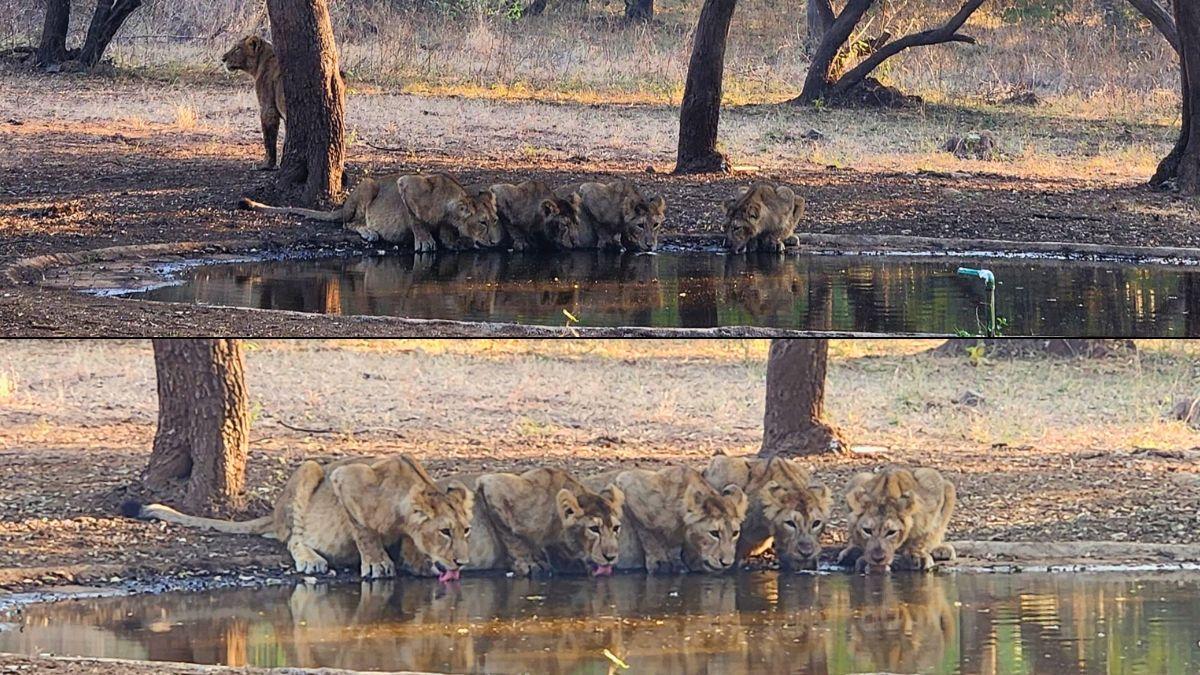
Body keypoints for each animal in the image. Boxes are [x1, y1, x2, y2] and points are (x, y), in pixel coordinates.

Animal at [122, 455, 474, 581]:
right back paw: (311, 560)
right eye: (445, 531)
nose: (463, 562)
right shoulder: (344, 478)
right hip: (310, 469)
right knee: (292, 539)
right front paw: (377, 564)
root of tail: (273, 513)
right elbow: (363, 529)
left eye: (466, 530)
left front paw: (419, 562)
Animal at [239, 172, 497, 251]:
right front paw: (425, 241)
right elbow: (415, 218)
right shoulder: (405, 184)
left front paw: (451, 241)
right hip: (368, 185)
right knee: (349, 223)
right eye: (482, 222)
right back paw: (370, 232)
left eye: (495, 220)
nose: (497, 242)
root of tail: (342, 205)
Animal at [586, 466, 747, 574]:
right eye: (714, 533)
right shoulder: (626, 482)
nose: (727, 563)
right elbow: (647, 533)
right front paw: (659, 562)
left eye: (735, 533)